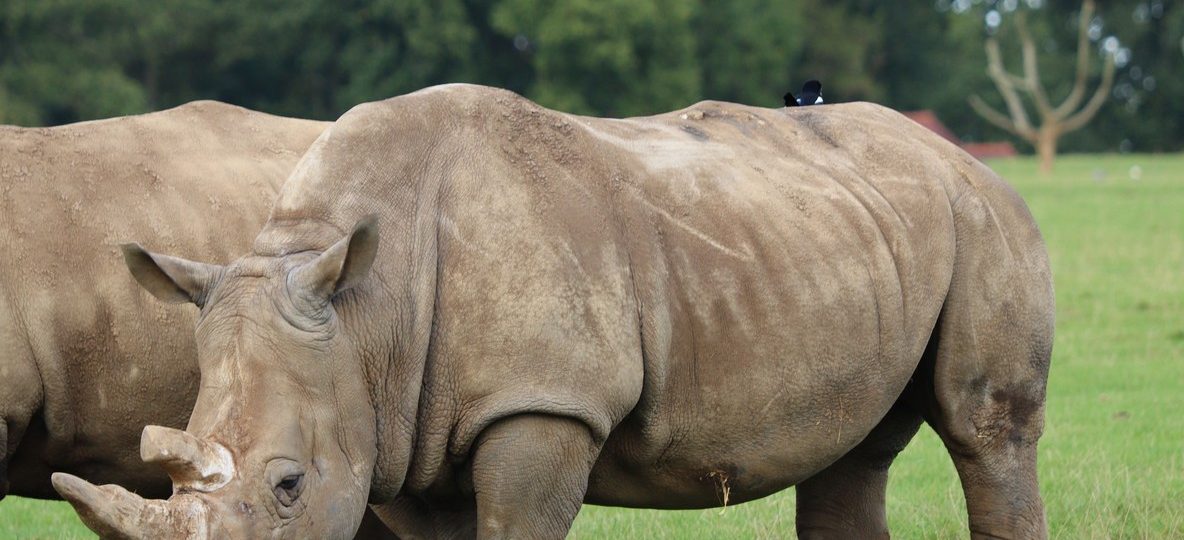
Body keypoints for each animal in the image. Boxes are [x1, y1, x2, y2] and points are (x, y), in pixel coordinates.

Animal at [55, 84, 1054, 539]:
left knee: (986, 429)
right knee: (853, 451)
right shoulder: (396, 425)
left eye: (290, 486)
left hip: (986, 221)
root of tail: (958, 154)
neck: (366, 311)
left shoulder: (542, 405)